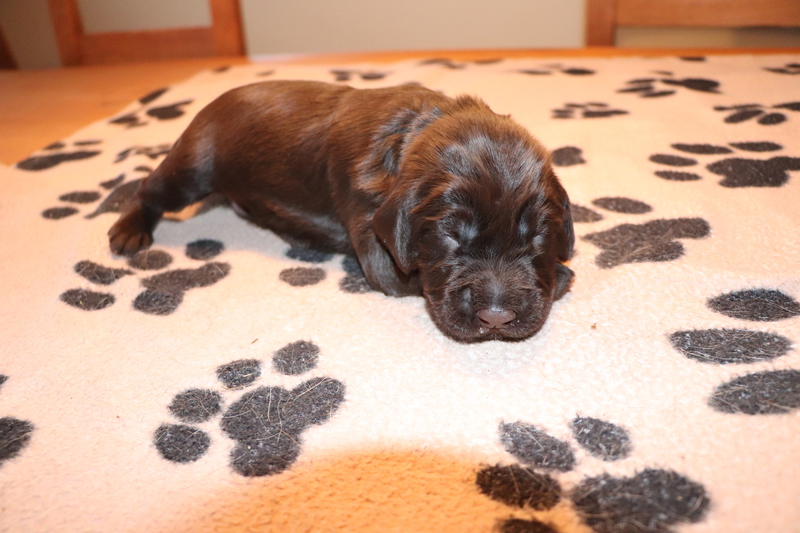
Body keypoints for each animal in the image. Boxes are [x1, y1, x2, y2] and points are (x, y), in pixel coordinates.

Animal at [109, 80, 575, 342]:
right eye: (450, 234)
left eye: (538, 233)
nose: (496, 317)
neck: (411, 134)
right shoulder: (375, 241)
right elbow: (415, 279)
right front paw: (563, 276)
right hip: (194, 163)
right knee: (149, 189)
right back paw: (128, 231)